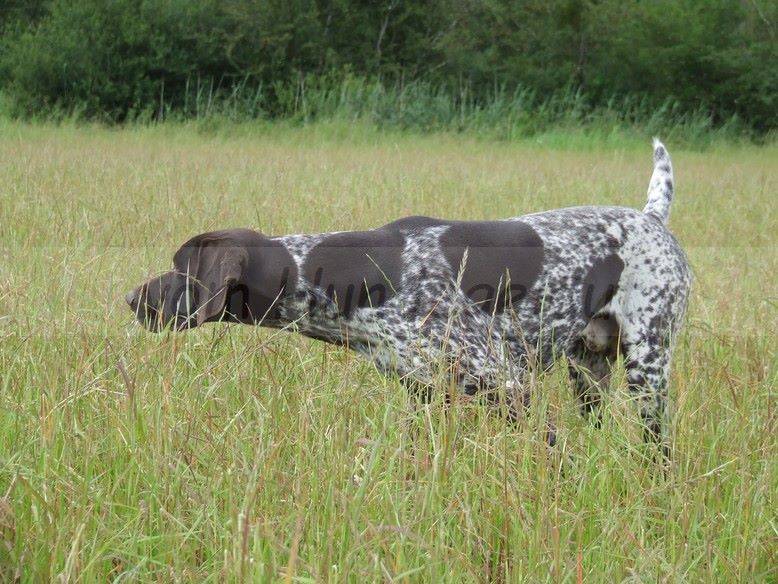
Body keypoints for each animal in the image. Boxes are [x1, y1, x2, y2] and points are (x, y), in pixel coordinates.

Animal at [127, 139, 692, 454]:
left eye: (180, 267)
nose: (131, 298)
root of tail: (650, 219)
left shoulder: (510, 388)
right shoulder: (425, 396)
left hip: (647, 371)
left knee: (658, 451)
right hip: (589, 372)